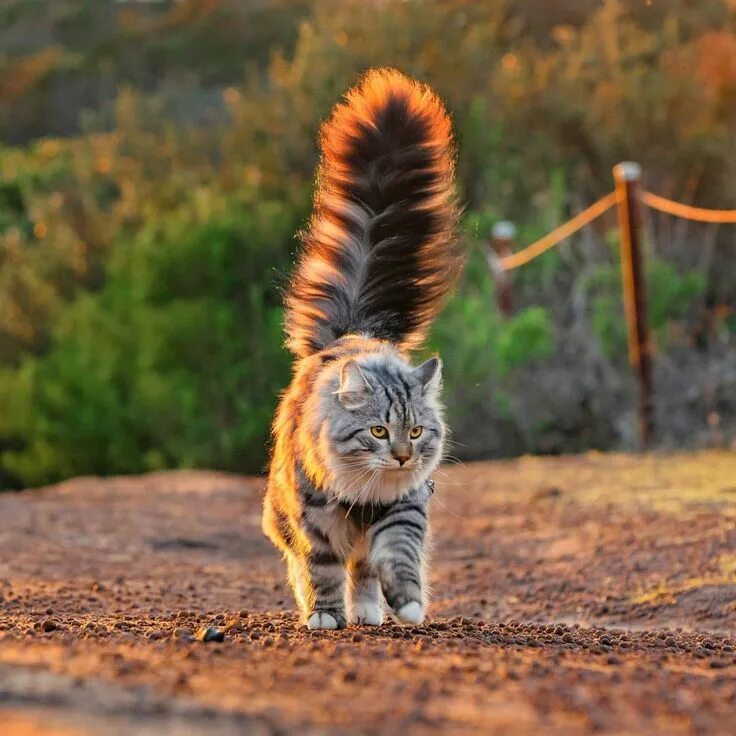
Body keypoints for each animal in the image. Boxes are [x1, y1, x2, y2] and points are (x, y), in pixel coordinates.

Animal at [262, 69, 462, 628]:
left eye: (415, 432)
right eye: (377, 431)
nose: (400, 456)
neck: (363, 491)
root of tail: (353, 332)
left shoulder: (403, 508)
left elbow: (394, 556)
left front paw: (407, 602)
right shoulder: (314, 517)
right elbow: (322, 568)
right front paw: (326, 615)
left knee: (364, 566)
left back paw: (372, 612)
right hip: (283, 516)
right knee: (309, 565)